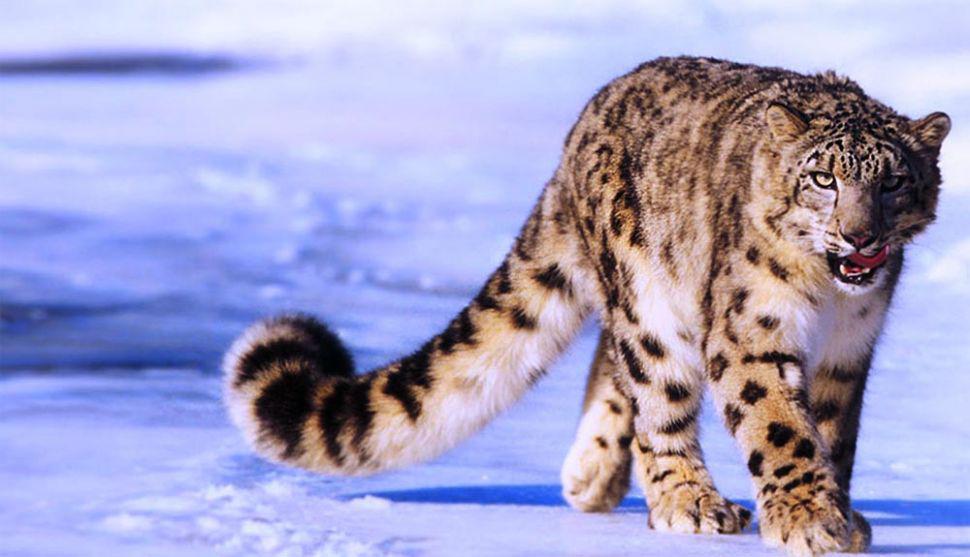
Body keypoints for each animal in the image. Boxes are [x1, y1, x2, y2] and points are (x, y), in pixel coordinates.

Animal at [223, 56, 950, 556]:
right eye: (823, 178)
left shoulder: (849, 351)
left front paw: (839, 511)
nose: (860, 236)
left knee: (616, 362)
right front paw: (808, 517)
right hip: (649, 298)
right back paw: (687, 500)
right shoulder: (752, 334)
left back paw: (593, 472)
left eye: (894, 181)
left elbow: (832, 431)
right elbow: (780, 426)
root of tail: (583, 125)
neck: (827, 301)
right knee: (655, 392)